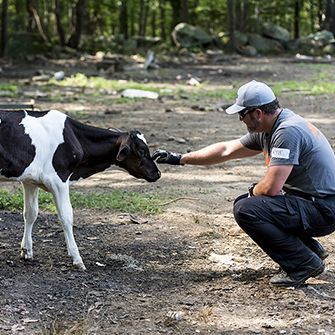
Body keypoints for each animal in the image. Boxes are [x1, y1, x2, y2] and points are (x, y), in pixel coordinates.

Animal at [0, 110, 161, 270]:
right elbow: (66, 217)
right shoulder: (58, 180)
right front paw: (77, 258)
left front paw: (26, 251)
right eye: (141, 150)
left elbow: (30, 213)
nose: (158, 173)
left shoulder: (30, 181)